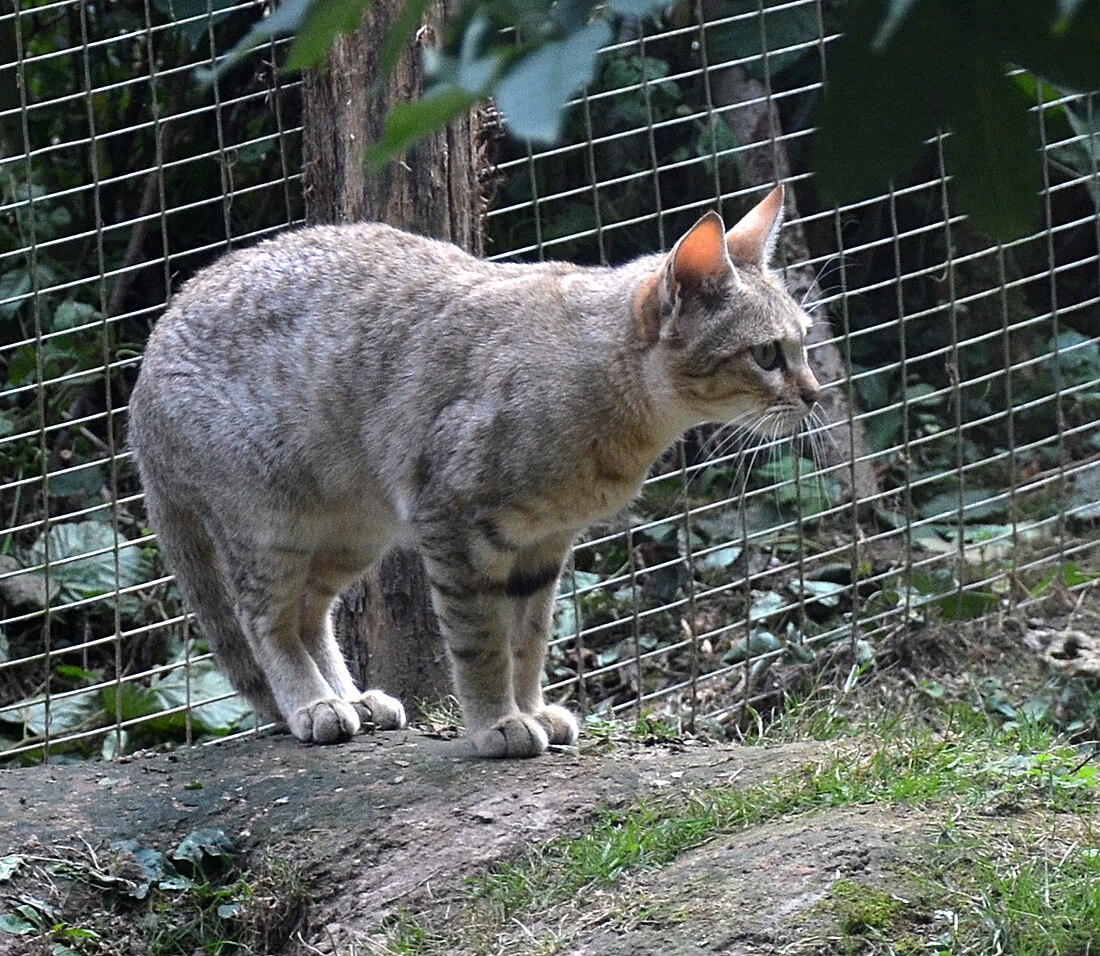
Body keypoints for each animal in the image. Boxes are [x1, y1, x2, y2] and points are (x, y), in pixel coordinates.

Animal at [126, 182, 818, 756]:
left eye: (805, 342)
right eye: (766, 355)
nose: (814, 393)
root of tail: (144, 371)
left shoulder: (544, 546)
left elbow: (529, 642)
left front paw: (531, 708)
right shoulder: (455, 525)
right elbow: (482, 642)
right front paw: (498, 722)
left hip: (352, 532)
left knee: (309, 613)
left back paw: (352, 698)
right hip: (272, 522)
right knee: (264, 619)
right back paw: (314, 704)